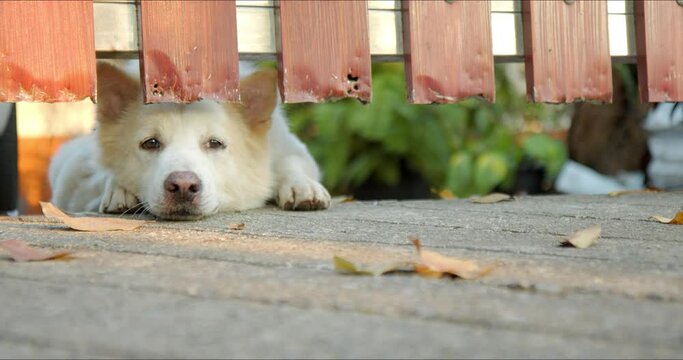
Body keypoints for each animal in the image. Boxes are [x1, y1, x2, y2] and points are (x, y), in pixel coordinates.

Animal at [46, 62, 330, 219]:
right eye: (150, 143)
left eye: (215, 143)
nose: (183, 186)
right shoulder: (73, 175)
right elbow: (101, 174)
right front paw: (119, 189)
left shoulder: (291, 148)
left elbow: (290, 163)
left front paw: (302, 187)